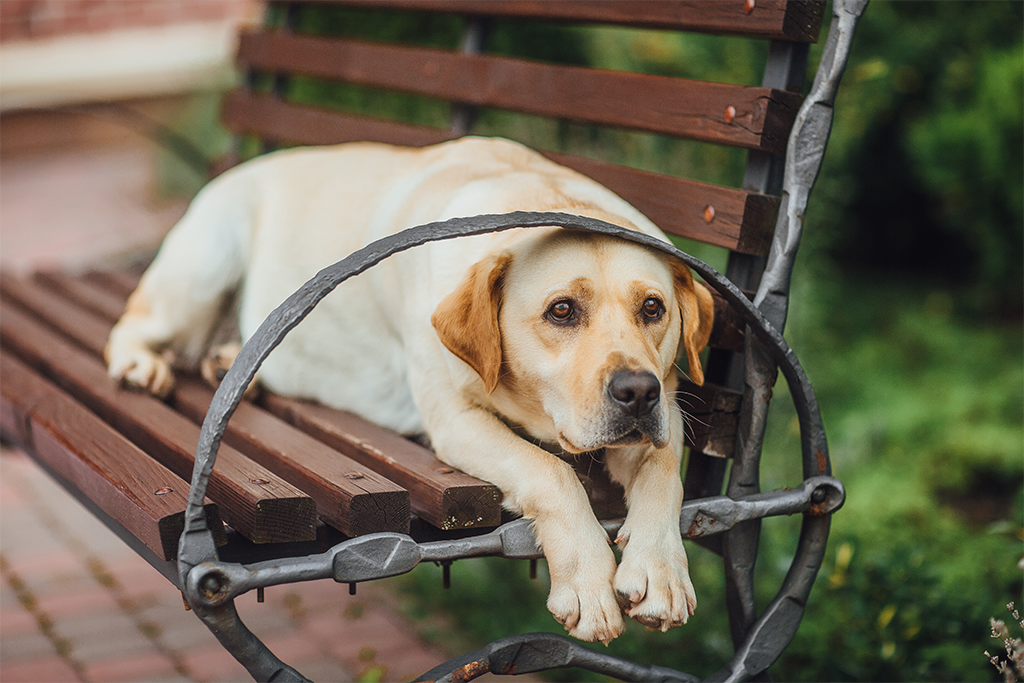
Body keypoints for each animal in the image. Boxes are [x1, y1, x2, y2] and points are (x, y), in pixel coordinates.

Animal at [103, 135, 712, 647]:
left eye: (652, 308)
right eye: (561, 311)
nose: (636, 392)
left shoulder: (669, 406)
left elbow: (664, 470)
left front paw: (661, 569)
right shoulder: (453, 419)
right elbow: (552, 472)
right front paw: (587, 581)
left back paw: (228, 362)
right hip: (203, 268)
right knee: (133, 322)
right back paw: (140, 364)